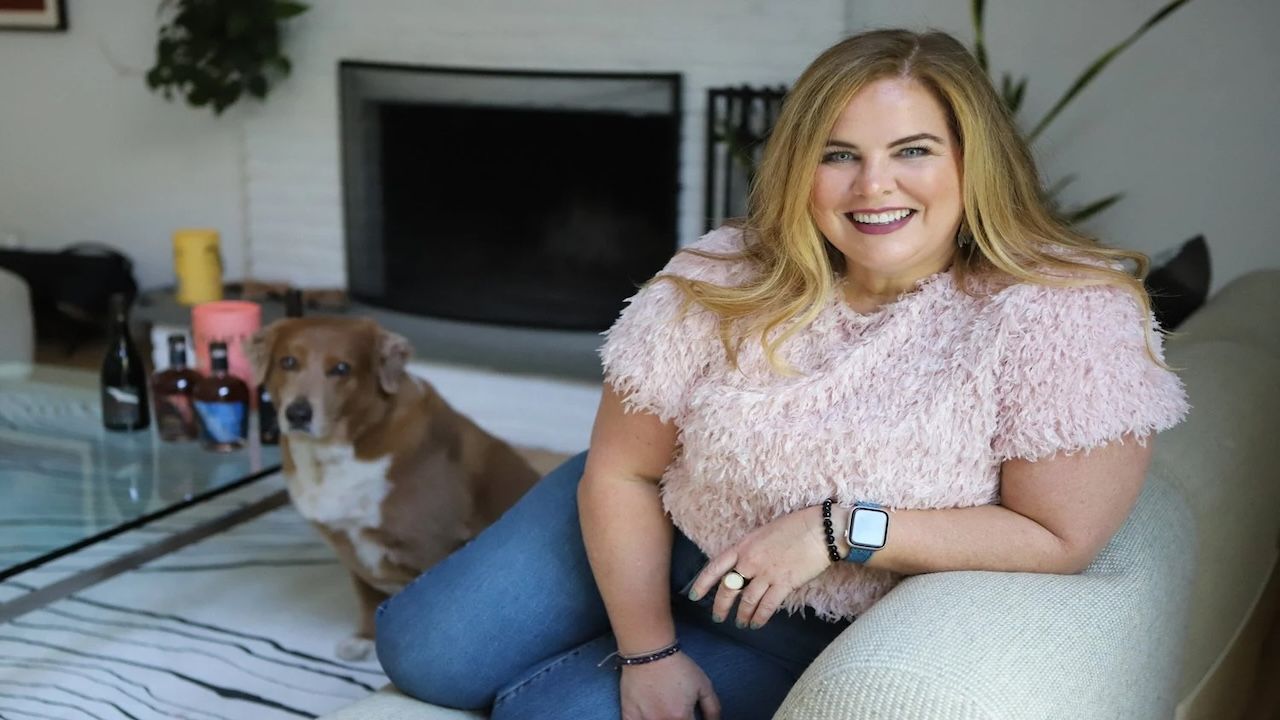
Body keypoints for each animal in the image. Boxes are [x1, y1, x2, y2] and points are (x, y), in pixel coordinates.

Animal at [248, 317, 541, 660]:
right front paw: (365, 638)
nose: (297, 413)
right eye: (288, 362)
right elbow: (367, 595)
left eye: (342, 368)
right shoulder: (351, 549)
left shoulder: (433, 544)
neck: (344, 446)